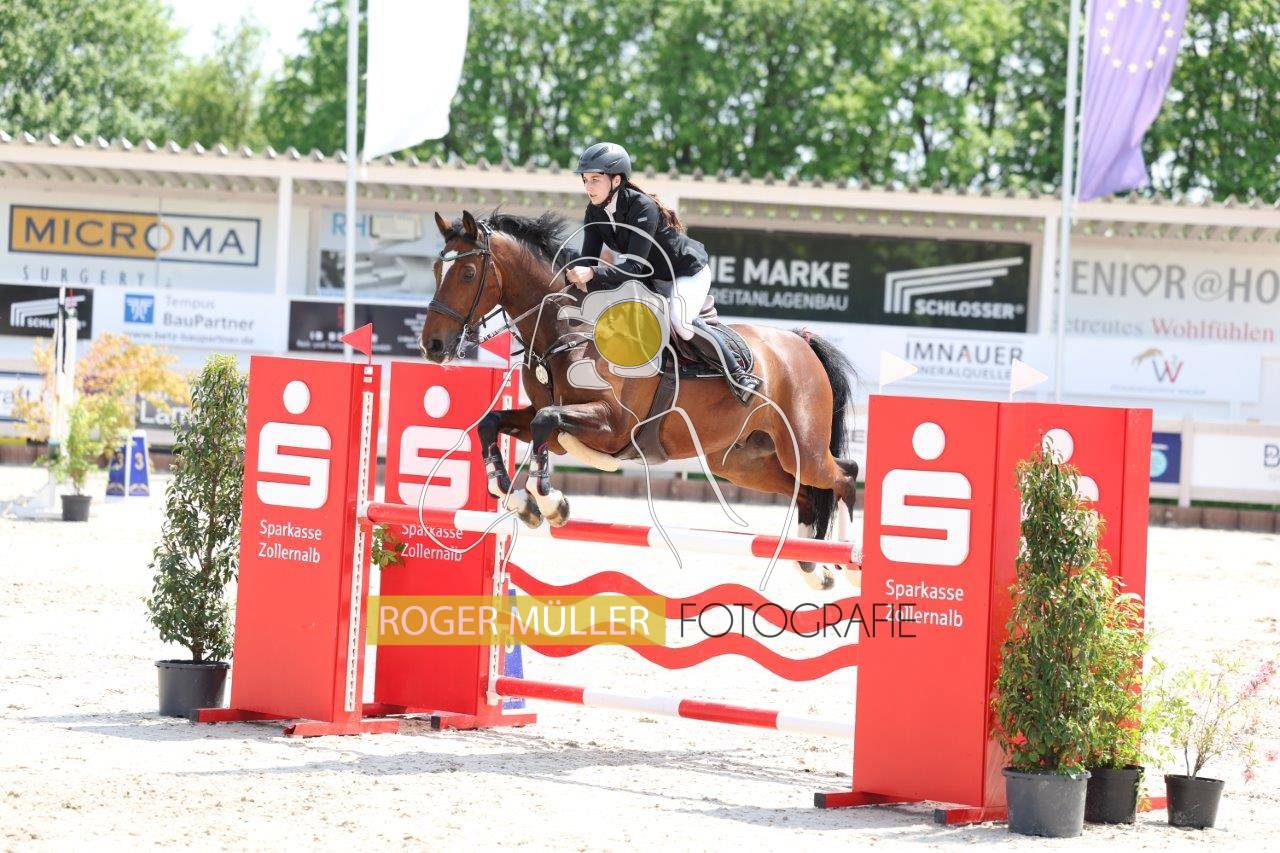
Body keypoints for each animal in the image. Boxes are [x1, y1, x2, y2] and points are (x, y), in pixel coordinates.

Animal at [420, 210, 861, 590]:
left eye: (468, 273)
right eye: (438, 270)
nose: (432, 346)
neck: (566, 332)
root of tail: (801, 342)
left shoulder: (612, 425)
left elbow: (547, 422)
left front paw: (550, 502)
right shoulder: (546, 421)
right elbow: (493, 422)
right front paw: (515, 497)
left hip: (800, 447)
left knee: (844, 475)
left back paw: (849, 562)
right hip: (743, 461)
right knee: (806, 492)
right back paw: (812, 568)